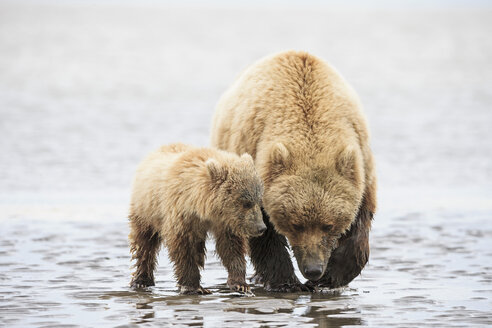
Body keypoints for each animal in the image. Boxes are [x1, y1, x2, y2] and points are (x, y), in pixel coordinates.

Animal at [210, 50, 376, 292]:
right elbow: (262, 232)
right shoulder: (254, 158)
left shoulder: (362, 164)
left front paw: (331, 277)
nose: (313, 269)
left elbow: (360, 221)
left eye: (328, 225)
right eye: (296, 224)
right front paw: (287, 282)